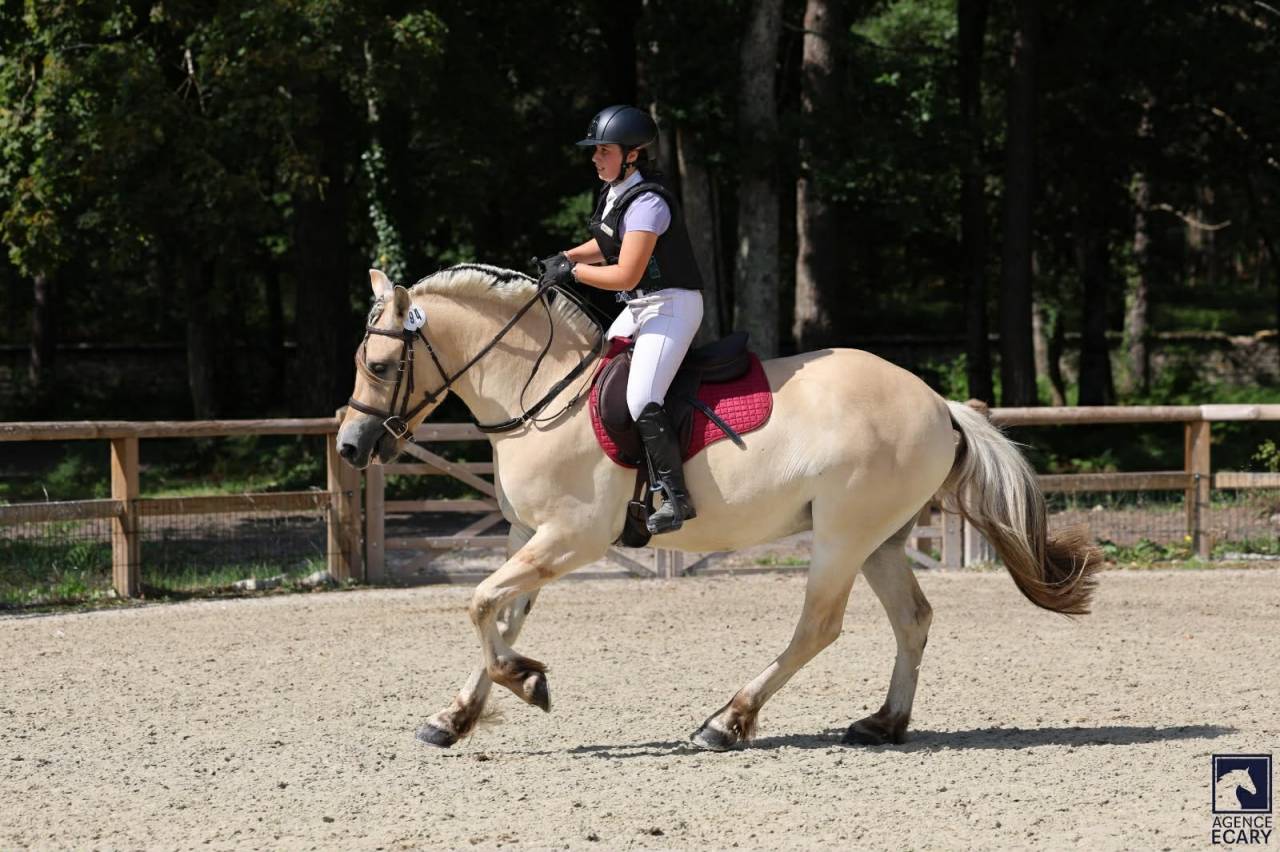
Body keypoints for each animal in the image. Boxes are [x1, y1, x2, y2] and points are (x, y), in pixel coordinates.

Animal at [336, 263, 1101, 751]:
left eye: (380, 366)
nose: (349, 445)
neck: (541, 390)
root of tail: (938, 403)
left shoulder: (571, 537)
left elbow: (479, 605)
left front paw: (527, 682)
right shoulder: (531, 534)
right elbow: (499, 613)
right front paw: (458, 715)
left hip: (842, 537)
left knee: (818, 628)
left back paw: (726, 721)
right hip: (880, 540)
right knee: (912, 620)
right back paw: (883, 724)